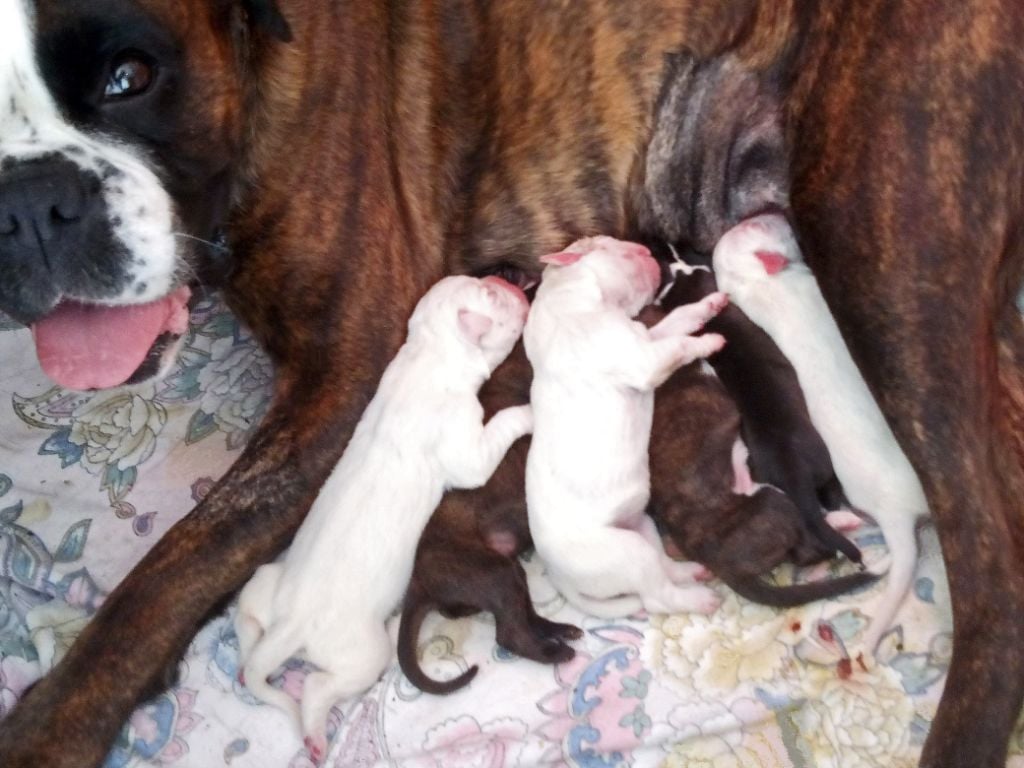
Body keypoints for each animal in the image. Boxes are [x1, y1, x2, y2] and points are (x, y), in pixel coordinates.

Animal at [233, 276, 532, 765]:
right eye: (490, 297)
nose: (504, 280)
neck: (426, 352)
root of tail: (289, 626)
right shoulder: (465, 444)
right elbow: (492, 437)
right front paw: (527, 412)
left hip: (264, 583)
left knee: (247, 623)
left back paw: (247, 660)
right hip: (363, 653)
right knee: (319, 686)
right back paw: (315, 735)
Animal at [395, 342, 581, 696]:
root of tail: (417, 581)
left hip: (509, 571)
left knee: (526, 616)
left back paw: (560, 630)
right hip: (496, 573)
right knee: (510, 634)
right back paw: (555, 651)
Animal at [528, 237, 729, 622]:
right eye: (612, 245)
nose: (647, 249)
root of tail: (559, 577)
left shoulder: (645, 336)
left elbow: (678, 320)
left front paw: (711, 303)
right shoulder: (644, 360)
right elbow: (680, 343)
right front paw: (709, 342)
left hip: (642, 526)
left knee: (663, 566)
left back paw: (690, 571)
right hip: (626, 552)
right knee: (656, 597)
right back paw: (701, 600)